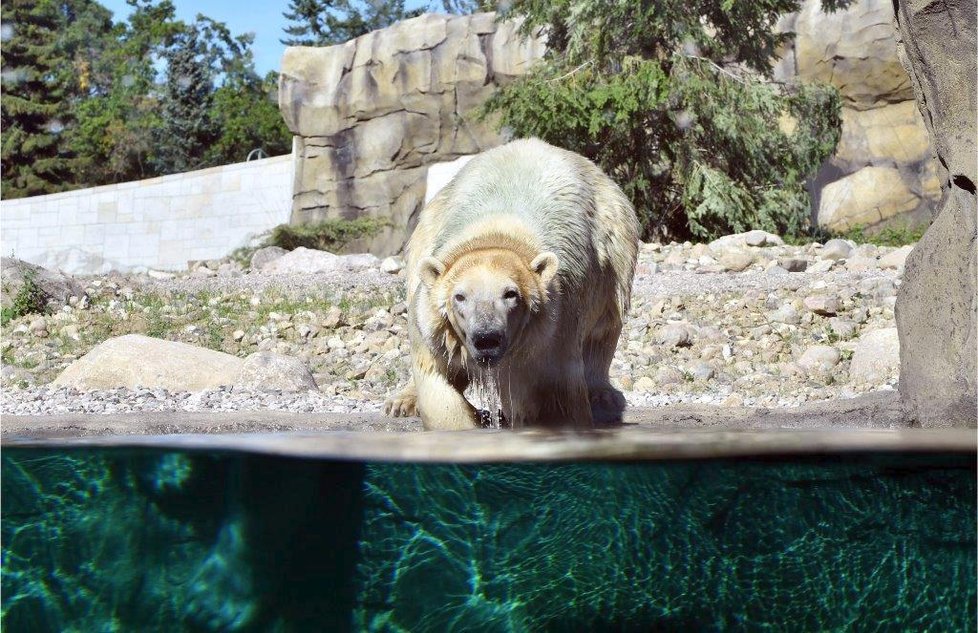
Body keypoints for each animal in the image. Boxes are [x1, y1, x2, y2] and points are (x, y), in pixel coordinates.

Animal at [382, 138, 640, 430]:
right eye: (460, 296)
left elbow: (556, 399)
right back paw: (402, 401)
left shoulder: (554, 329)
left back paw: (602, 395)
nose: (486, 338)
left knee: (605, 324)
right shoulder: (434, 329)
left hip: (615, 242)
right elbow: (437, 385)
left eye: (510, 294)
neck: (496, 237)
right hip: (427, 228)